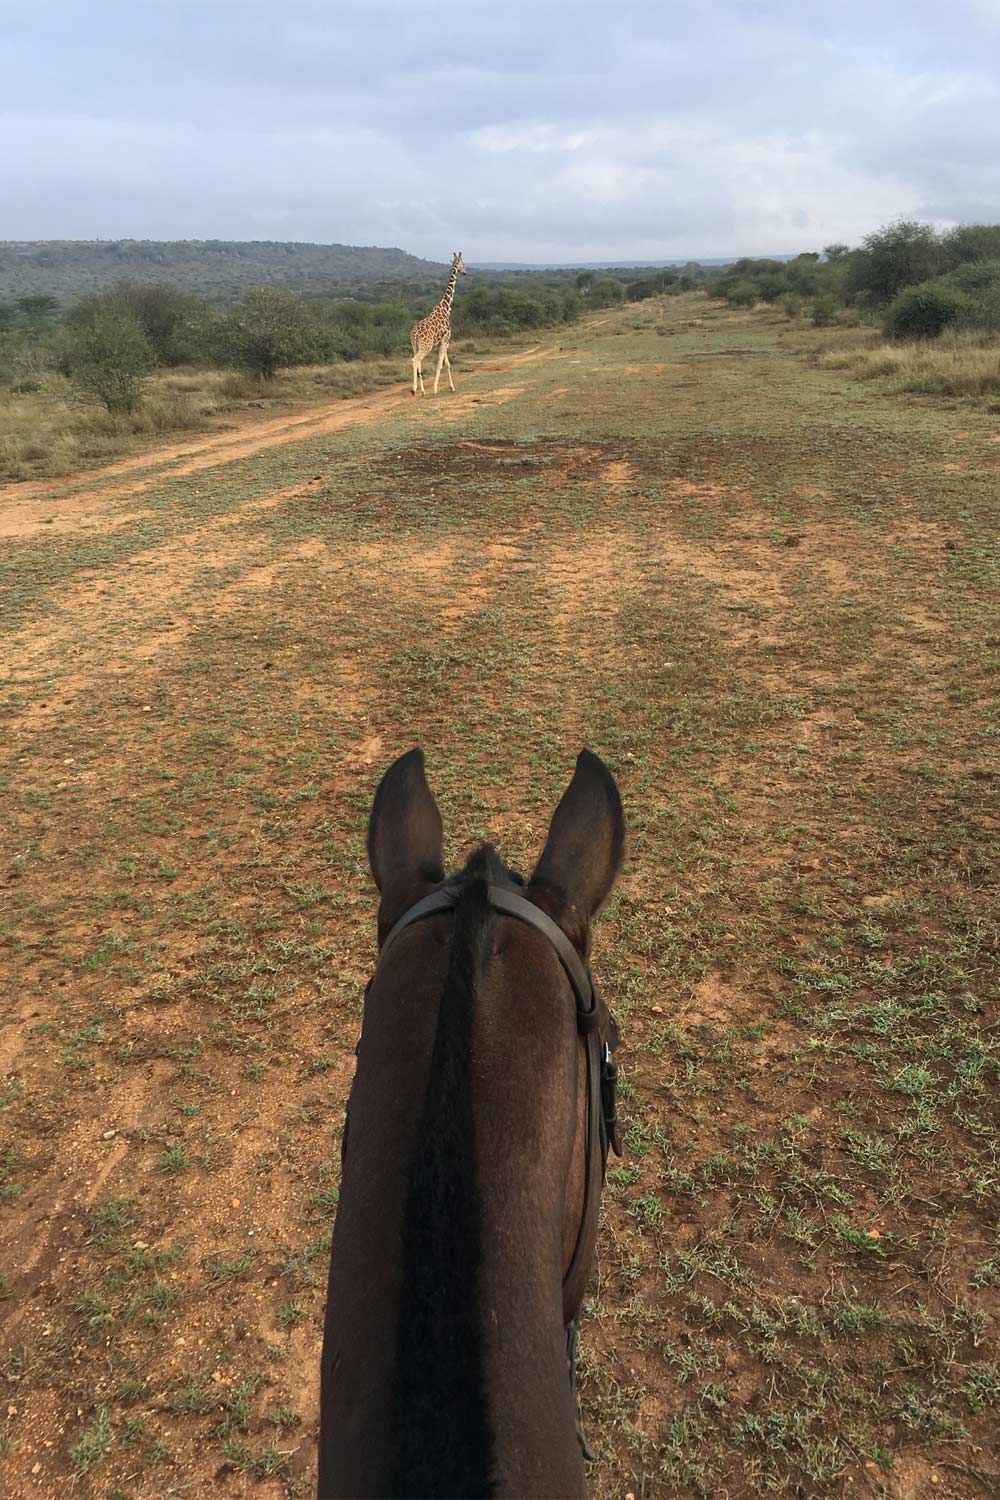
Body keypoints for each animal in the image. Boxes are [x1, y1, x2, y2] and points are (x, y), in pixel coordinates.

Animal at [409, 251, 467, 395]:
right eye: (462, 263)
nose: (465, 272)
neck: (446, 308)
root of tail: (414, 334)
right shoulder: (446, 338)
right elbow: (440, 364)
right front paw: (435, 388)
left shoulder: (443, 340)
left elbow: (447, 364)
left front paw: (452, 387)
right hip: (426, 345)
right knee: (415, 360)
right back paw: (413, 390)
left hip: (414, 346)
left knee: (418, 362)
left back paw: (422, 391)